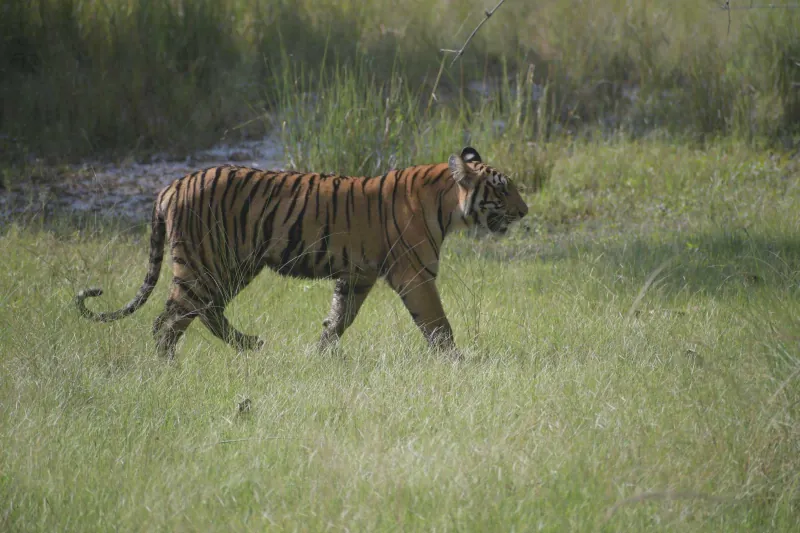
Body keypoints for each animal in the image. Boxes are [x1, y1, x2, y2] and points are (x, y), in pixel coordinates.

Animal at [75, 147, 528, 359]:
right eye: (503, 188)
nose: (525, 211)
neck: (449, 206)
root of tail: (171, 185)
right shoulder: (415, 274)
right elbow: (438, 324)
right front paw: (458, 361)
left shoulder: (356, 276)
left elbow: (338, 319)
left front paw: (319, 353)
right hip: (205, 263)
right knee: (168, 320)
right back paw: (169, 366)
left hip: (231, 266)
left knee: (204, 312)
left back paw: (249, 345)